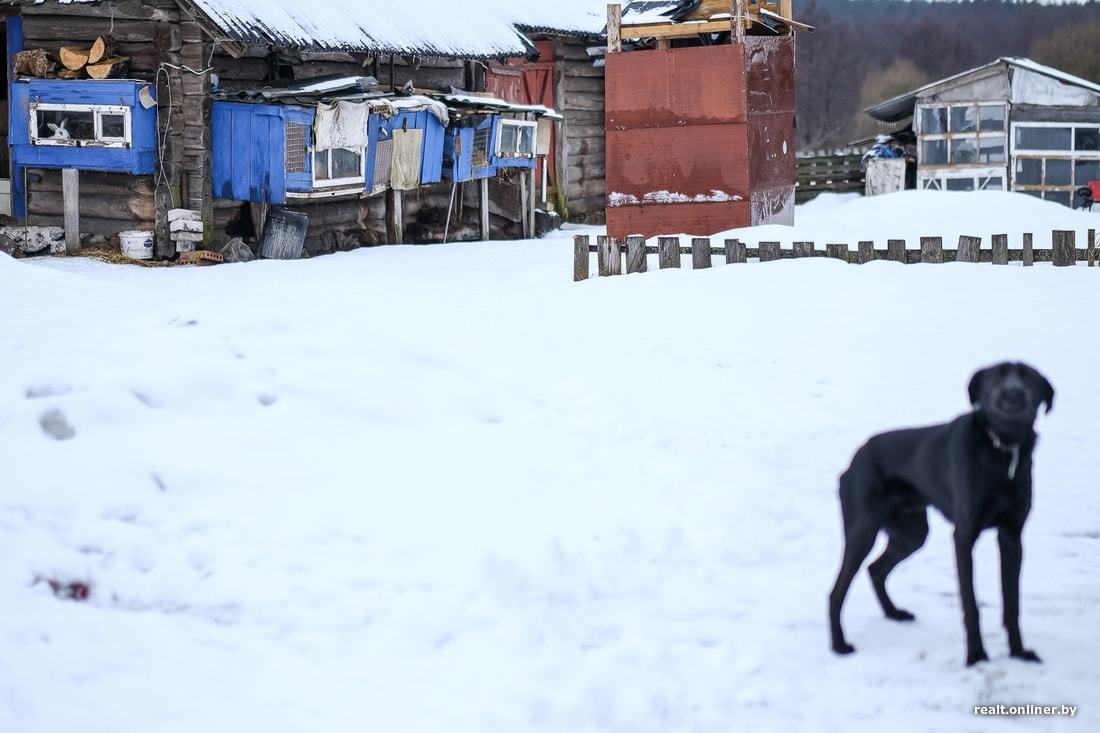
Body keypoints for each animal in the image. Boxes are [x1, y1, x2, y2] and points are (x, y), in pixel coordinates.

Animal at [827, 358, 1051, 660]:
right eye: (997, 375)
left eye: (1028, 377)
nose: (1013, 392)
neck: (1003, 446)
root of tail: (852, 462)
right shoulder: (964, 536)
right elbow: (970, 603)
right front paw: (976, 655)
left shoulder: (1012, 537)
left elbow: (1012, 603)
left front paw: (1018, 652)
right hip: (863, 531)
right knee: (837, 591)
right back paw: (839, 644)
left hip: (911, 533)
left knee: (875, 569)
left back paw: (893, 613)